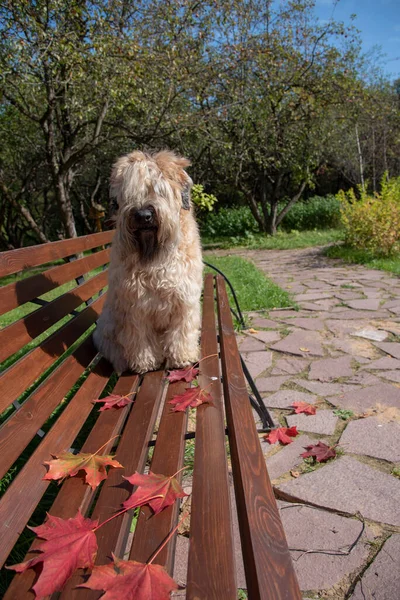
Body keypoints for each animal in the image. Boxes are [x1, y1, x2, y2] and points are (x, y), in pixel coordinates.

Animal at [92, 149, 202, 372]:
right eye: (130, 193)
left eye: (159, 190)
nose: (143, 215)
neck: (156, 257)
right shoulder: (134, 305)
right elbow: (139, 336)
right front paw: (145, 362)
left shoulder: (185, 300)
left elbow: (182, 331)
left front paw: (182, 357)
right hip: (108, 325)